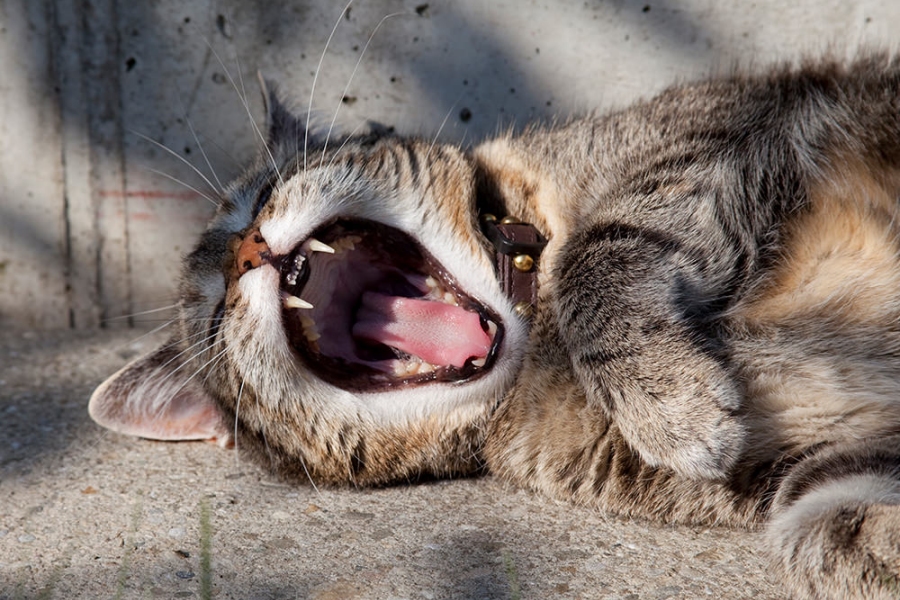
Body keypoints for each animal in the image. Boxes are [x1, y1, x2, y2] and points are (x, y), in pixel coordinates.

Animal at [86, 52, 900, 600]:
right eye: (208, 318)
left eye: (257, 196)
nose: (245, 253)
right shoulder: (818, 476)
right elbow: (830, 532)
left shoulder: (708, 139)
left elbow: (600, 251)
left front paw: (666, 402)